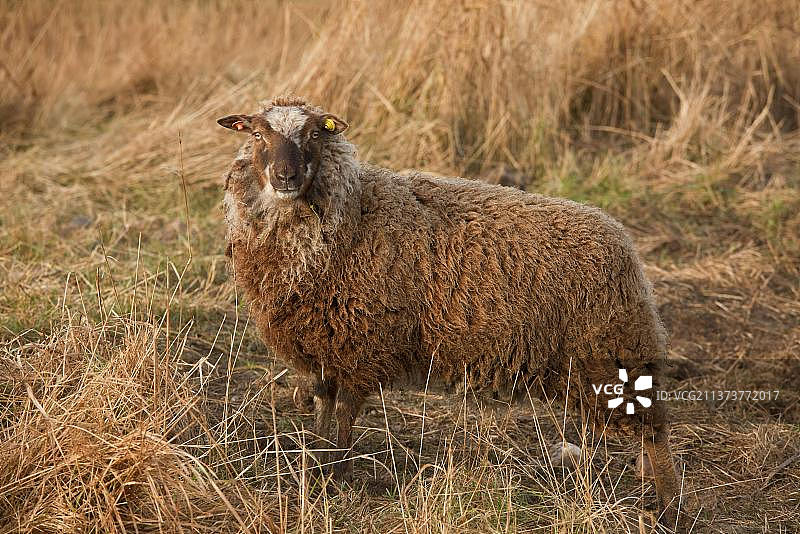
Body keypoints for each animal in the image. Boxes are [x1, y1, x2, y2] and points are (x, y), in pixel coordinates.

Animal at [216, 96, 682, 527]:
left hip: (614, 347)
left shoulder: (360, 345)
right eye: (256, 134)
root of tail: (622, 241)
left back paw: (669, 505)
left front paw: (337, 473)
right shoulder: (323, 347)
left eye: (315, 134)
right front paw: (315, 464)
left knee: (654, 430)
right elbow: (322, 407)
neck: (350, 216)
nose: (286, 177)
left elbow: (345, 413)